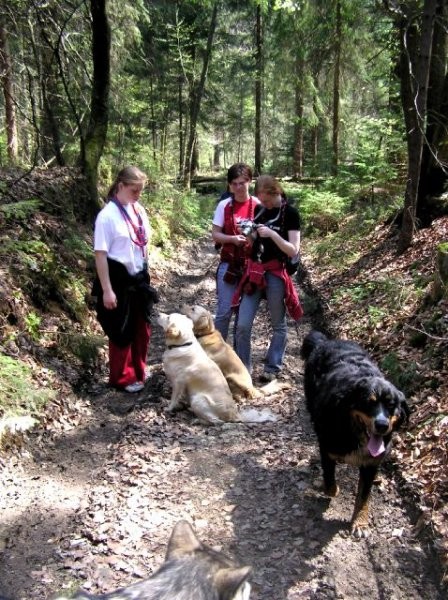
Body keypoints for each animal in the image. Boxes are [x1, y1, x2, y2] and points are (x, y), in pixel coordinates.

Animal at [300, 330, 410, 536]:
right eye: (369, 403)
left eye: (391, 405)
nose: (382, 425)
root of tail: (327, 341)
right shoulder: (327, 448)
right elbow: (330, 482)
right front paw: (333, 489)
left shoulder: (372, 463)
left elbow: (363, 495)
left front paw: (360, 522)